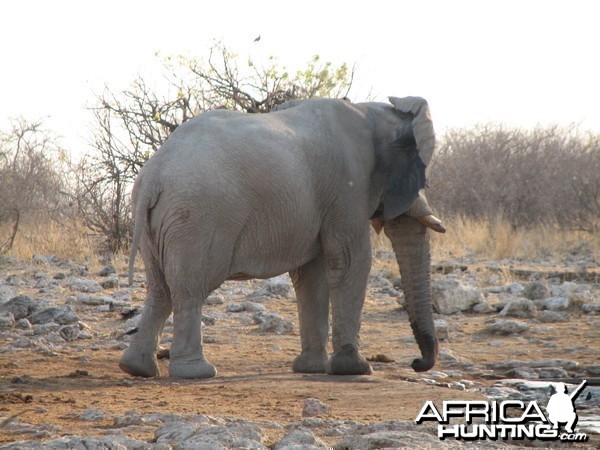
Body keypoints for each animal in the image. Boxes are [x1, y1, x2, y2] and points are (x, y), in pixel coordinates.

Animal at [119, 96, 442, 380]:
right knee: (189, 289)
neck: (375, 111)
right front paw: (355, 369)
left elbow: (312, 274)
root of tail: (154, 174)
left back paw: (137, 369)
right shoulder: (348, 187)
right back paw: (197, 373)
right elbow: (350, 262)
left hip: (157, 220)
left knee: (160, 290)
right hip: (195, 217)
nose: (416, 363)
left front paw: (311, 368)